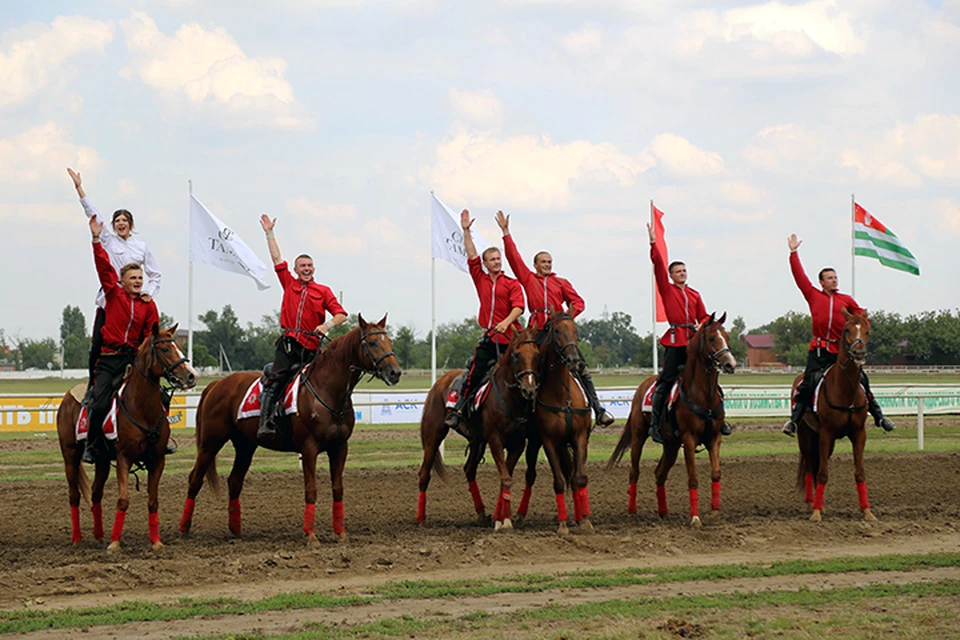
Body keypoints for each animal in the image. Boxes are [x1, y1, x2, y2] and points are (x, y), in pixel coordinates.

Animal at [57, 324, 199, 552]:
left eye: (178, 346)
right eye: (165, 349)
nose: (191, 376)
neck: (141, 407)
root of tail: (69, 396)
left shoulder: (157, 459)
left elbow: (153, 500)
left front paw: (156, 542)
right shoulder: (124, 458)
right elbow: (123, 500)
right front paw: (115, 543)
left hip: (103, 461)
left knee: (96, 493)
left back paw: (99, 536)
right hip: (70, 455)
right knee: (74, 495)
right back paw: (77, 539)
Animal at [180, 312, 402, 544]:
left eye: (389, 341)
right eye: (372, 342)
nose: (395, 372)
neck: (326, 390)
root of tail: (217, 385)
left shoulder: (340, 447)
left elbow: (338, 489)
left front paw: (341, 534)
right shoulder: (309, 448)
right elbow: (311, 489)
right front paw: (311, 535)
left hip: (245, 446)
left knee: (234, 481)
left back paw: (236, 531)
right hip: (210, 443)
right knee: (195, 479)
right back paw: (184, 529)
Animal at [418, 328, 544, 528]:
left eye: (537, 355)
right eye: (516, 355)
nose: (529, 389)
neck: (508, 397)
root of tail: (439, 383)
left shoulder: (517, 444)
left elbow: (505, 478)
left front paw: (502, 518)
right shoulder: (495, 440)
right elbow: (506, 478)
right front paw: (504, 521)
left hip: (476, 441)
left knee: (469, 470)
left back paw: (482, 513)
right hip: (433, 436)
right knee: (424, 474)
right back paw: (421, 519)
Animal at [608, 312, 736, 528]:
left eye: (726, 336)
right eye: (711, 338)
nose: (730, 364)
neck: (703, 395)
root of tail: (643, 386)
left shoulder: (714, 438)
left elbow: (716, 472)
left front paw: (715, 512)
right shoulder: (689, 440)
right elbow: (693, 478)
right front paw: (695, 518)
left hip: (671, 445)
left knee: (660, 474)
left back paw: (663, 512)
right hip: (639, 437)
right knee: (634, 471)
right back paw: (632, 511)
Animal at [796, 308, 876, 524]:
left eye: (867, 330)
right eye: (847, 329)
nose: (859, 352)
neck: (845, 389)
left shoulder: (859, 434)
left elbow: (860, 473)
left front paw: (867, 511)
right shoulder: (826, 434)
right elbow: (823, 473)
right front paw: (816, 513)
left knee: (815, 465)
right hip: (806, 436)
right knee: (810, 467)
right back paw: (810, 504)